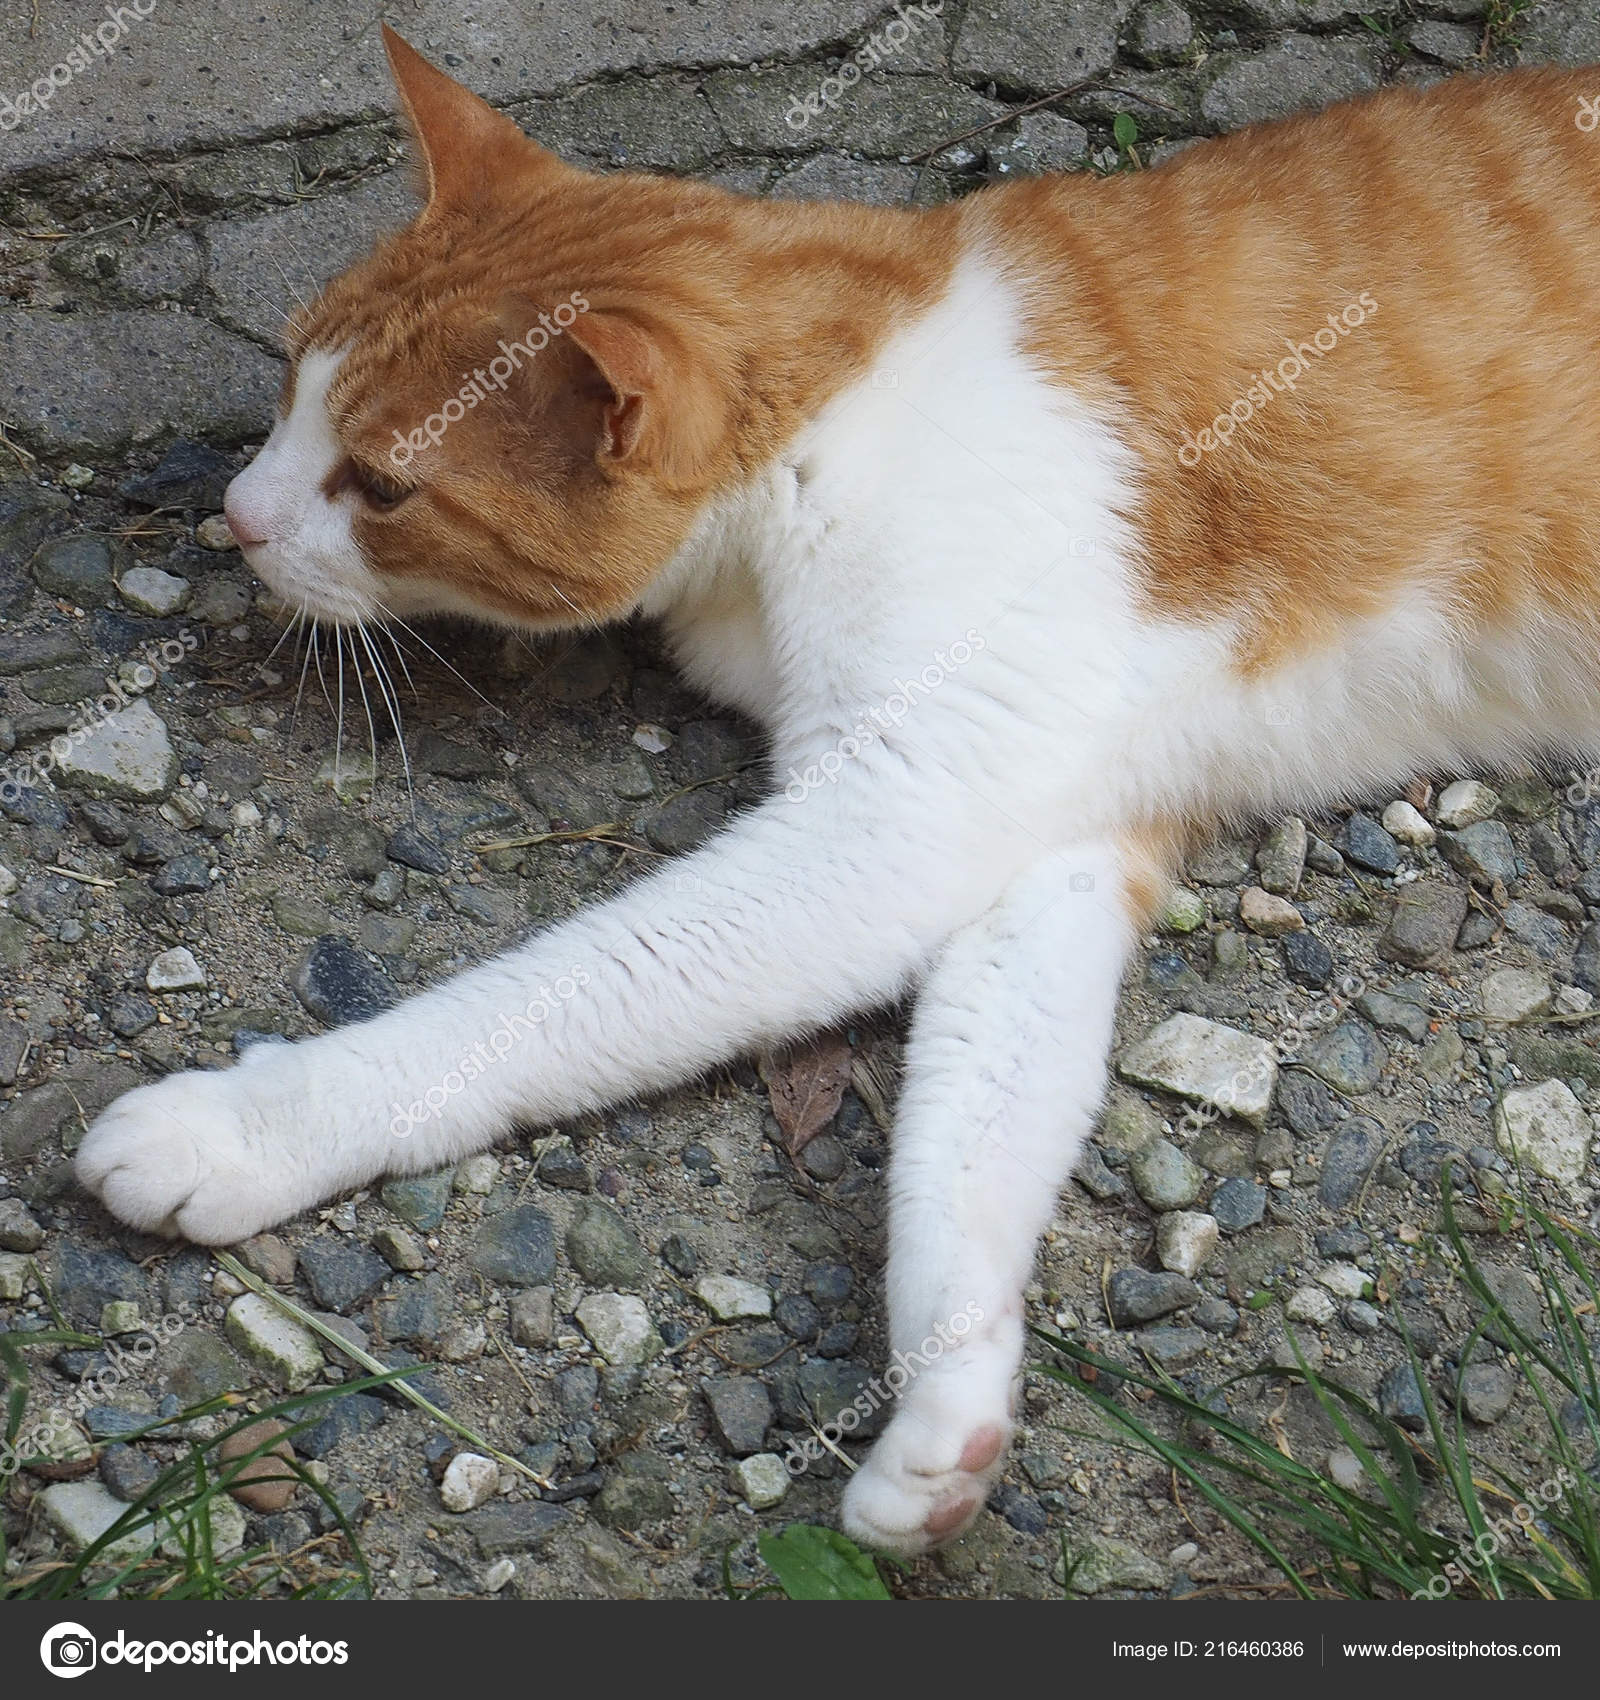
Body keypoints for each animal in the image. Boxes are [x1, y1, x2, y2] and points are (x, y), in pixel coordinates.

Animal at [74, 29, 1598, 1564]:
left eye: (381, 486)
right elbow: (969, 1135)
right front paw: (950, 1402)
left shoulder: (898, 812)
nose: (237, 514)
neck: (829, 417)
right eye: (285, 379)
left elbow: (550, 994)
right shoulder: (1045, 835)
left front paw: (246, 1125)